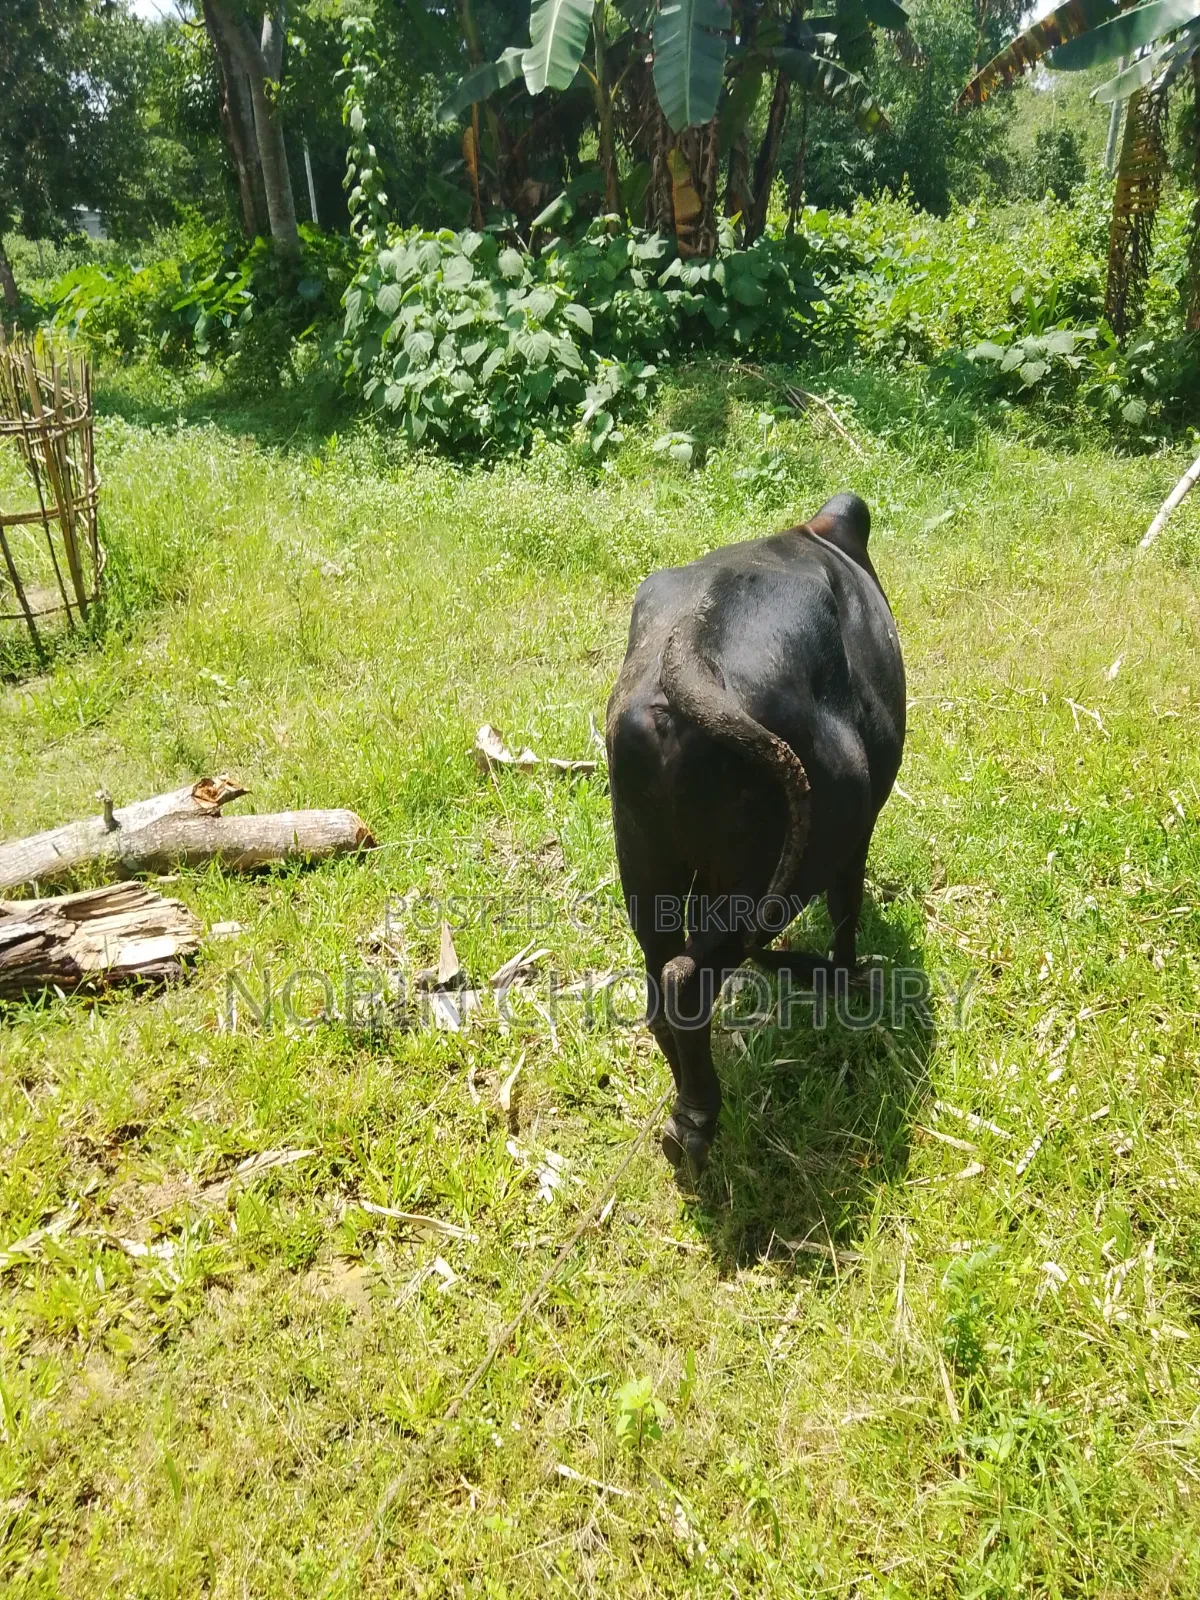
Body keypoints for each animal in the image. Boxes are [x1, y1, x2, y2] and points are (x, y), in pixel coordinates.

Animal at [605, 493, 906, 1182]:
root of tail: (686, 658)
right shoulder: (856, 836)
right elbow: (848, 912)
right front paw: (848, 981)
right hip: (786, 870)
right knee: (687, 980)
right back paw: (698, 1117)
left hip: (650, 875)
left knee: (660, 983)